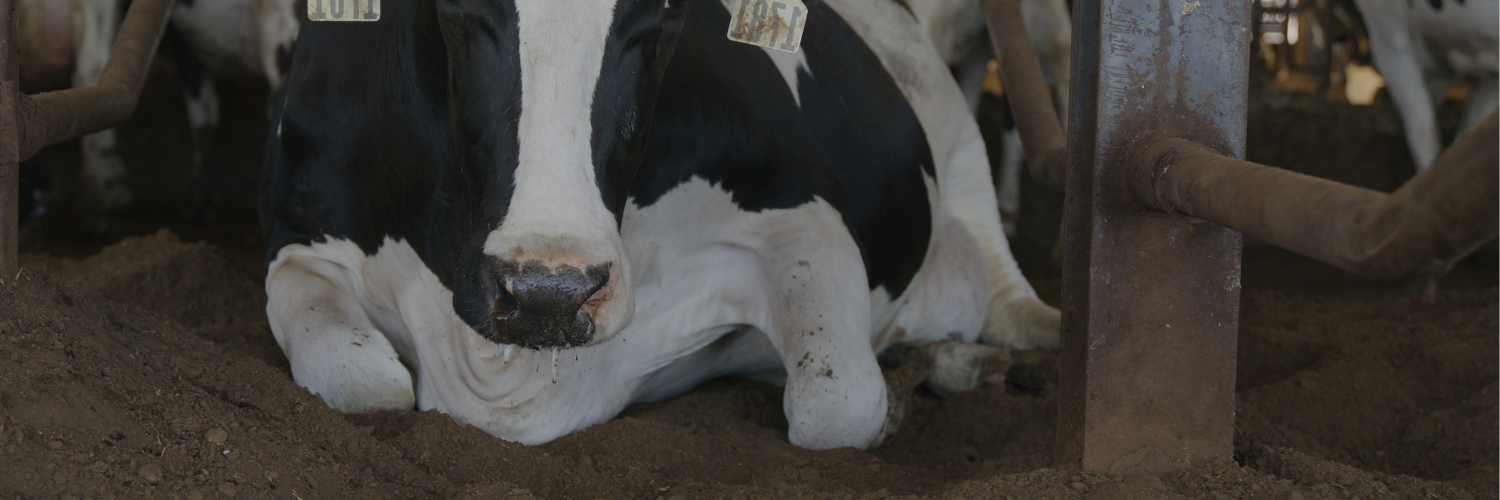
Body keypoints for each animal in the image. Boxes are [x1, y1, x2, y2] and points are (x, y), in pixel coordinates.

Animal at [262, 0, 1061, 449]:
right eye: (458, 7)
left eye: (662, 17)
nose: (548, 291)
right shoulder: (302, 241)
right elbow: (366, 382)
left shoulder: (799, 211)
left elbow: (837, 403)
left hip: (949, 121)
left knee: (990, 262)